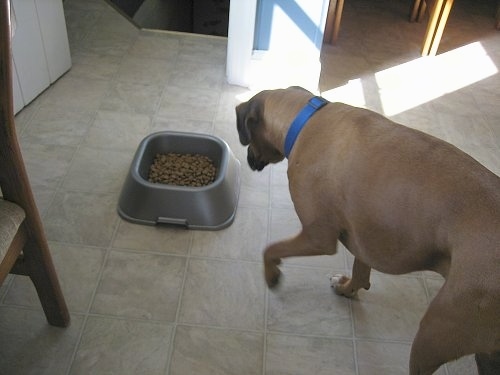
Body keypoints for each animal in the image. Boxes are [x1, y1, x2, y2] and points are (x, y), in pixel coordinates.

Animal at [235, 86, 500, 374]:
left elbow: (270, 249)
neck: (305, 119)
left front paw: (271, 274)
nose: (248, 160)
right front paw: (347, 287)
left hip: (434, 333)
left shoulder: (317, 237)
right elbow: (360, 272)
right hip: (481, 350)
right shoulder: (365, 233)